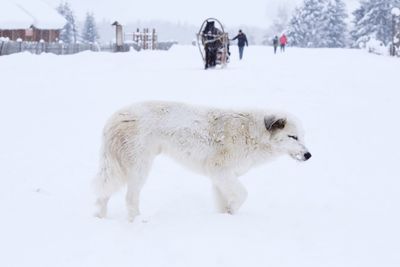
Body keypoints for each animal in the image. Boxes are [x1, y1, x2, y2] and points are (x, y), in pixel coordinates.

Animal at [93, 101, 310, 222]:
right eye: (293, 137)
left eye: (302, 137)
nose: (309, 155)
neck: (253, 134)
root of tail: (114, 117)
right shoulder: (220, 170)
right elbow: (242, 194)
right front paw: (231, 211)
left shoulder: (220, 177)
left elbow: (224, 202)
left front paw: (226, 218)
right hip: (140, 168)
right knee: (129, 198)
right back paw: (137, 222)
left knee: (103, 195)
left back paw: (100, 219)